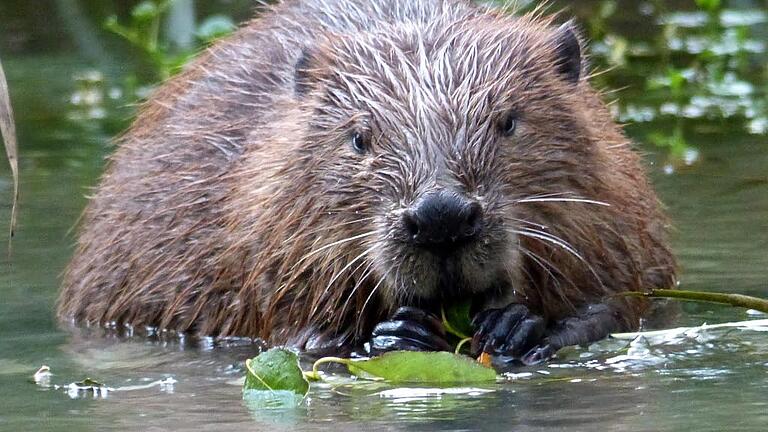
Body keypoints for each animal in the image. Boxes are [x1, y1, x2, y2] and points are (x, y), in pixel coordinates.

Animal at [57, 0, 676, 364]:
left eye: (508, 122)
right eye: (359, 137)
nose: (441, 217)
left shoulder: (620, 224)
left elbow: (623, 303)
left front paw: (518, 326)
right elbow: (288, 332)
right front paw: (393, 335)